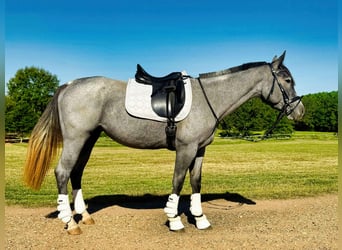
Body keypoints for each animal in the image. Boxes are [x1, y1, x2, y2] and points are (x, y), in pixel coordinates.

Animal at [22, 51, 304, 234]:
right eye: (287, 80)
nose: (300, 111)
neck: (209, 98)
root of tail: (68, 85)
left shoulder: (200, 149)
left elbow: (196, 182)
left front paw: (200, 218)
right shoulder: (186, 149)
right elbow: (178, 181)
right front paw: (175, 219)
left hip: (89, 139)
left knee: (77, 172)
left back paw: (85, 217)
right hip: (76, 139)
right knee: (63, 172)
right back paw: (70, 223)